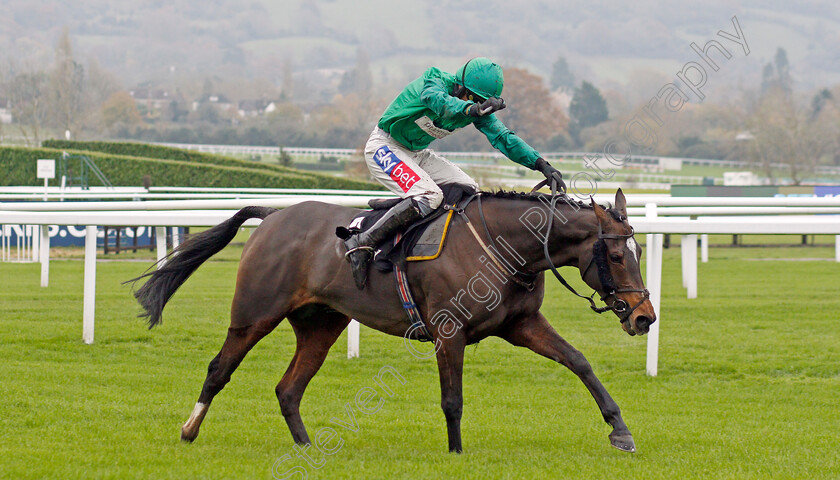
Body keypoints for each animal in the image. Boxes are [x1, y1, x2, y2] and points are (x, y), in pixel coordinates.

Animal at [130, 188, 656, 454]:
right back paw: (189, 430)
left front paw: (620, 430)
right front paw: (456, 455)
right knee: (220, 369)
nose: (645, 317)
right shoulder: (449, 332)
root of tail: (273, 215)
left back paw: (306, 447)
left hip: (321, 324)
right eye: (615, 254)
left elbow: (579, 362)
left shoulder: (520, 324)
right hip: (254, 314)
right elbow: (452, 399)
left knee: (289, 388)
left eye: (639, 251)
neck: (503, 245)